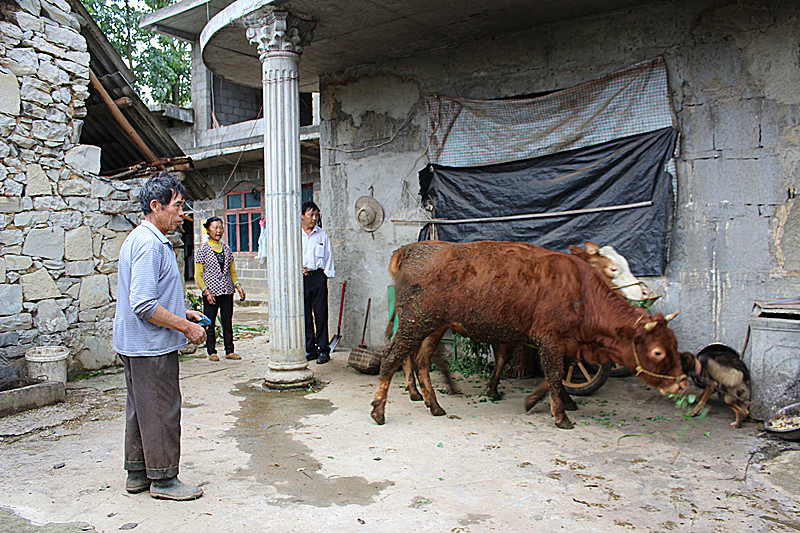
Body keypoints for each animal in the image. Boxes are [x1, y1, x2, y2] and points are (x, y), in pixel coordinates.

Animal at [372, 241, 684, 428]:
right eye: (657, 351)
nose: (681, 384)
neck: (581, 290)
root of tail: (411, 249)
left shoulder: (562, 343)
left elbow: (554, 373)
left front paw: (542, 400)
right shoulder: (549, 339)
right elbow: (554, 375)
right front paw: (561, 416)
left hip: (432, 325)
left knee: (423, 360)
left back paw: (435, 404)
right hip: (414, 323)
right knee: (393, 357)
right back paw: (380, 410)